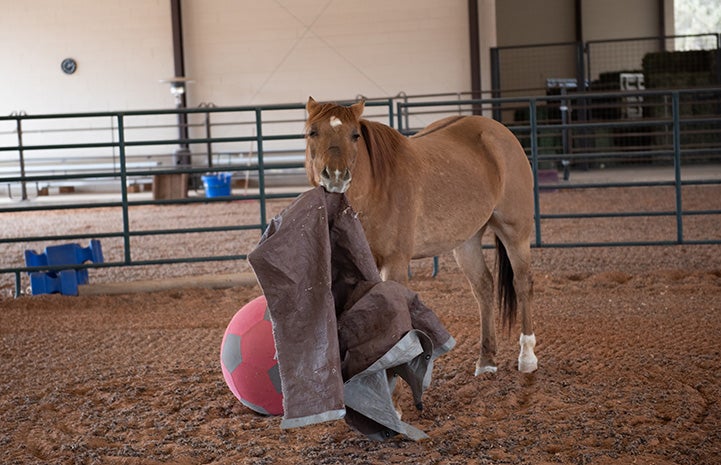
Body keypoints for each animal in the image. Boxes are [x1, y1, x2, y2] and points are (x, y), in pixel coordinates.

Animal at [302, 97, 536, 374]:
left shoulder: (395, 264)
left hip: (515, 232)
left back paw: (527, 357)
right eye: (312, 132)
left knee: (522, 284)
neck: (376, 189)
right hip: (466, 242)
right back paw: (486, 361)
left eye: (355, 135)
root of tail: (500, 133)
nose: (336, 176)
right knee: (484, 287)